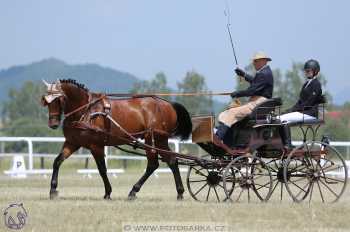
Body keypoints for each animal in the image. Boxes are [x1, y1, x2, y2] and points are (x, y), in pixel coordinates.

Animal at [42, 79, 193, 199]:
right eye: (46, 102)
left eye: (59, 99)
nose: (53, 124)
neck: (86, 111)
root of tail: (169, 105)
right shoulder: (72, 142)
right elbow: (57, 161)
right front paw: (53, 190)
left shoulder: (96, 145)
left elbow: (102, 169)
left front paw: (108, 193)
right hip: (157, 140)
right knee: (170, 161)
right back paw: (179, 192)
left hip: (154, 139)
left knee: (154, 164)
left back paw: (134, 191)